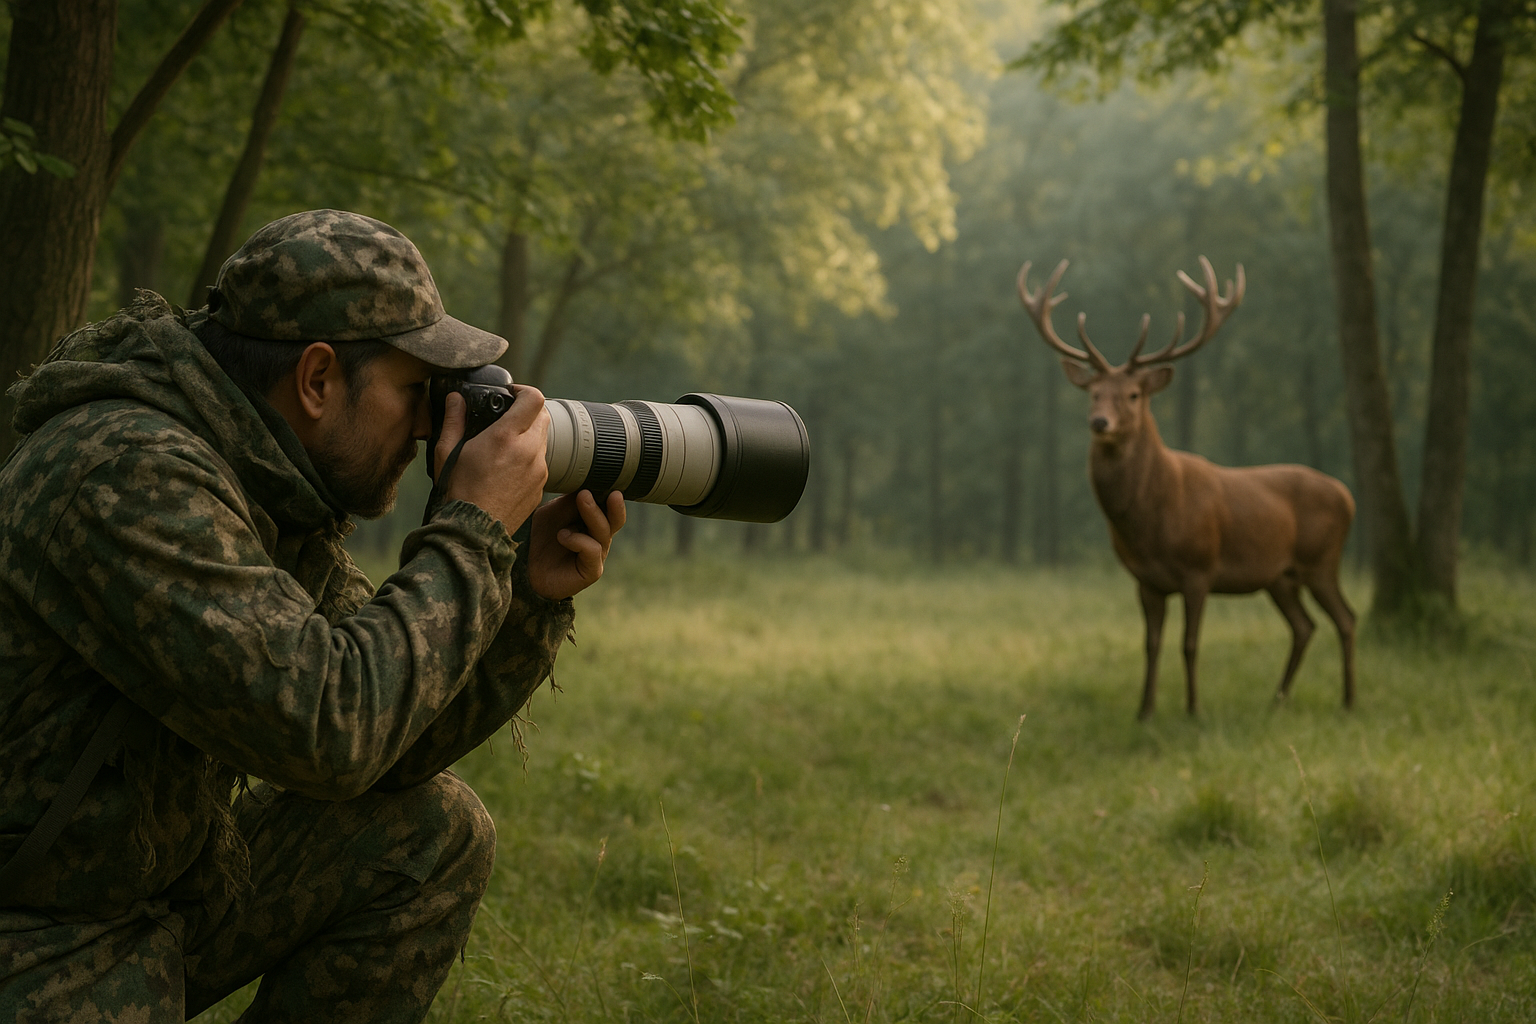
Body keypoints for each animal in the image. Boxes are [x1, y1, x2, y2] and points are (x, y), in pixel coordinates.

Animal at [1017, 257, 1357, 719]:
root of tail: (1349, 497)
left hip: (1321, 559)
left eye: (1134, 394)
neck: (1151, 525)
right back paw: (1278, 699)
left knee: (1346, 618)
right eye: (1092, 393)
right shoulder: (1145, 580)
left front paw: (1194, 711)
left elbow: (1190, 644)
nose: (1099, 423)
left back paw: (1349, 701)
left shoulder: (1200, 569)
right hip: (1280, 576)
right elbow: (1151, 644)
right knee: (1305, 626)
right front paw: (1144, 712)